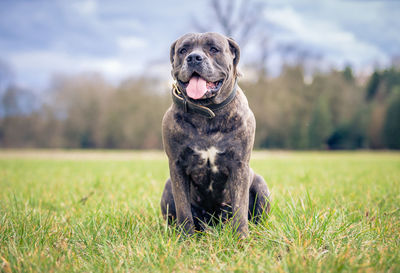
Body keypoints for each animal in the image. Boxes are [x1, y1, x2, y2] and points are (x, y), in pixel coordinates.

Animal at [161, 31, 270, 236]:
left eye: (214, 49)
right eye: (183, 50)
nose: (194, 58)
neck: (207, 112)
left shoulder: (239, 165)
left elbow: (240, 206)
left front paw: (241, 237)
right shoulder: (177, 166)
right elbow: (183, 208)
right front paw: (186, 238)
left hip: (261, 186)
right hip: (168, 187)